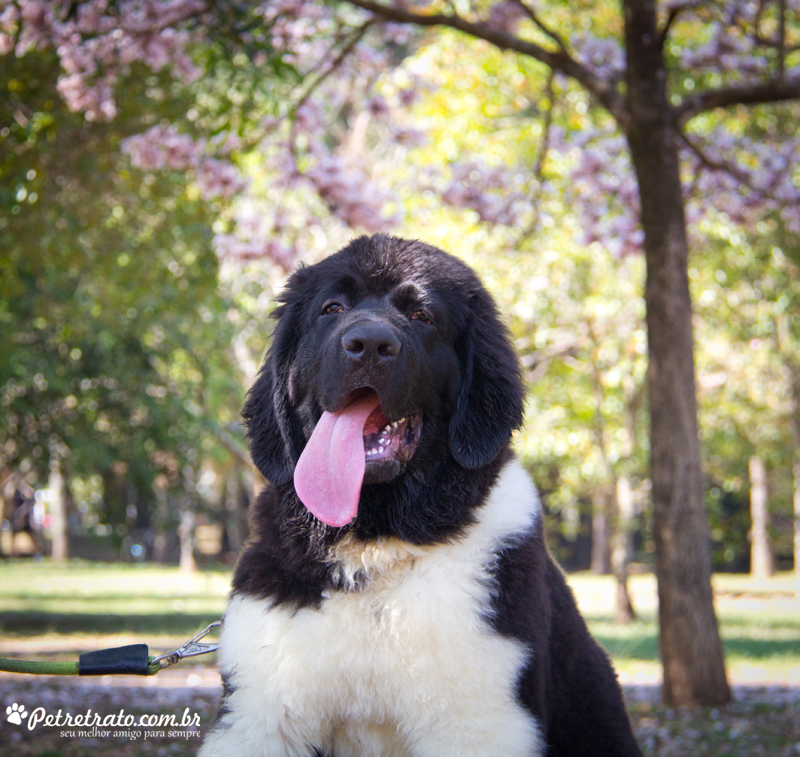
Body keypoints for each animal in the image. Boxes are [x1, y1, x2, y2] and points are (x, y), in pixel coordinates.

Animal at [202, 233, 644, 752]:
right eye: (332, 308)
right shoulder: (260, 714)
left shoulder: (479, 722)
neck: (375, 551)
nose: (368, 344)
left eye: (422, 316)